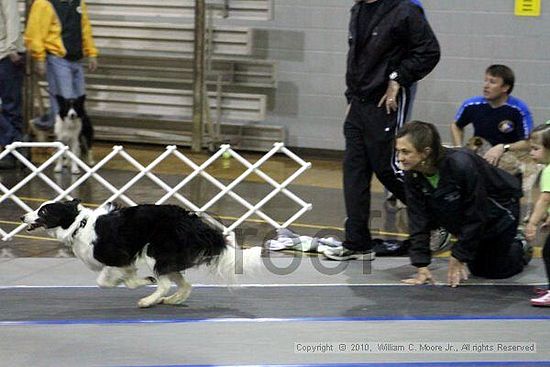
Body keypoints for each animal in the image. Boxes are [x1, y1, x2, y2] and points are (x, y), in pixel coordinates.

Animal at [21, 200, 264, 310]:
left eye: (43, 211)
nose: (23, 216)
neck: (79, 225)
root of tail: (192, 221)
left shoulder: (117, 258)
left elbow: (103, 282)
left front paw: (138, 284)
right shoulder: (126, 263)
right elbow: (128, 280)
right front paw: (142, 281)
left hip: (154, 252)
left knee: (165, 284)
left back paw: (148, 301)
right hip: (168, 259)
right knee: (185, 285)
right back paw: (171, 300)